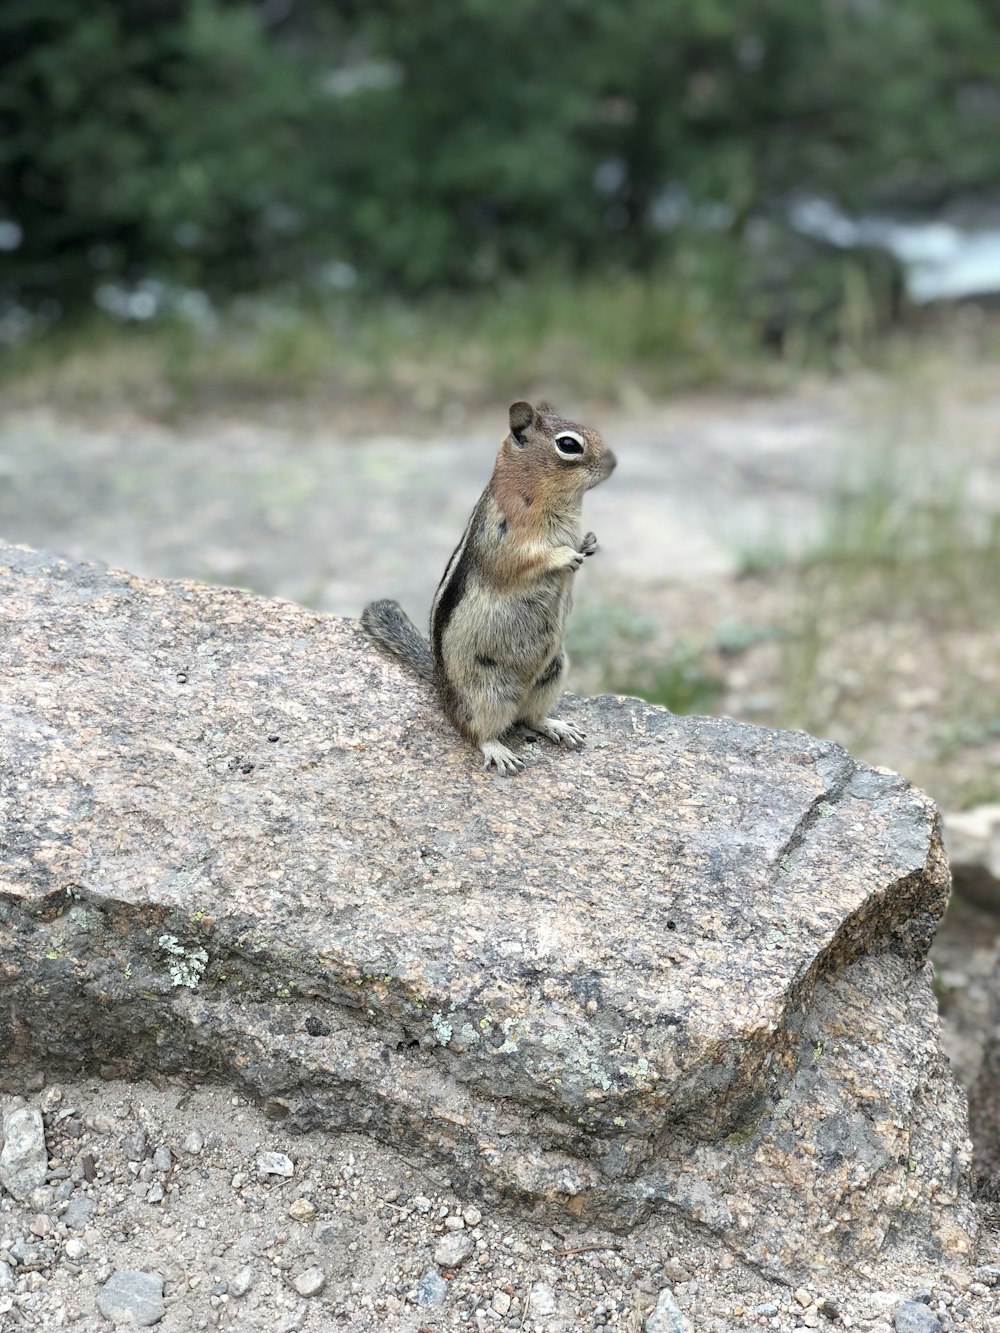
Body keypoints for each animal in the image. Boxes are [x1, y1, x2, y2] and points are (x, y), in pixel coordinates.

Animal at [365, 397, 618, 773]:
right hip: (485, 693)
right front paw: (566, 555)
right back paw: (499, 751)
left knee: (530, 717)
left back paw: (557, 726)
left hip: (552, 671)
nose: (613, 461)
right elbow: (525, 560)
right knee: (476, 730)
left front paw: (590, 543)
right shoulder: (504, 536)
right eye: (569, 445)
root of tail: (442, 689)